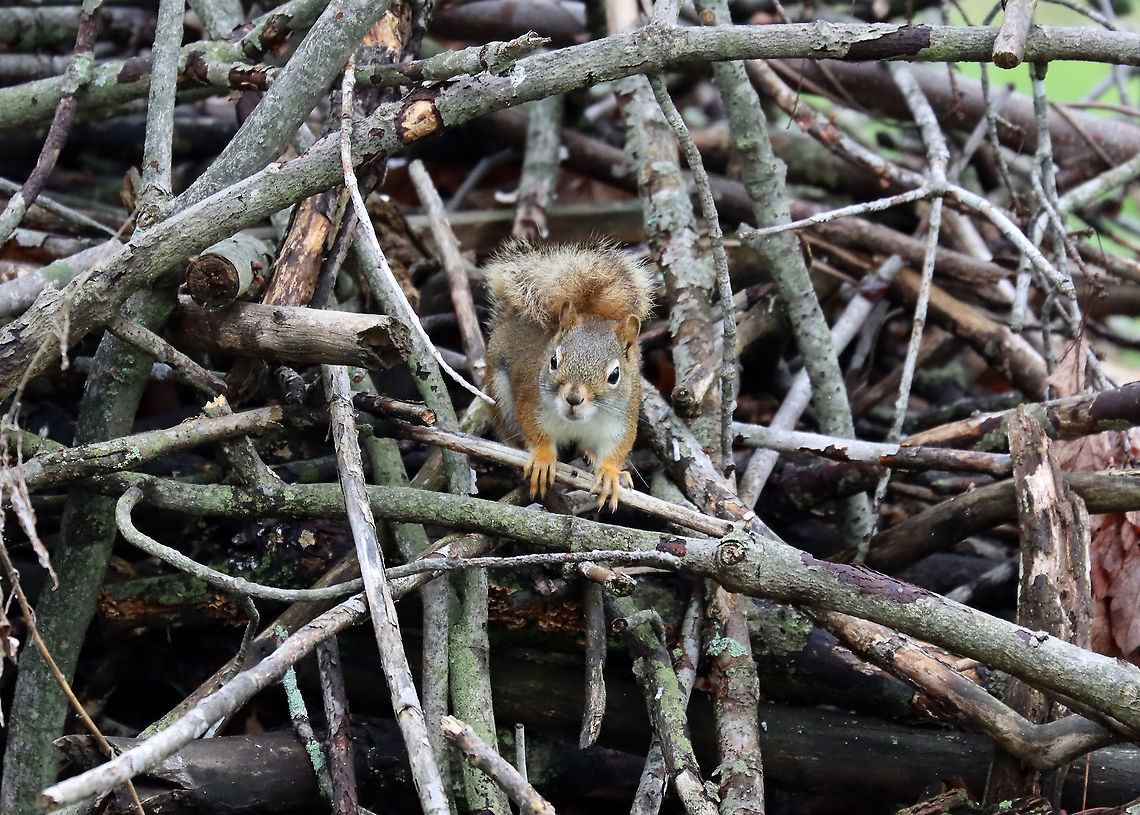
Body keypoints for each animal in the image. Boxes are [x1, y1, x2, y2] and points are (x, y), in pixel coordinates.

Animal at [484, 242, 653, 511]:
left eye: (614, 375)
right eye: (553, 361)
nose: (573, 398)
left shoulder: (621, 420)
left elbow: (618, 448)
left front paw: (610, 473)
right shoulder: (531, 401)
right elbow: (534, 430)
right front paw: (543, 458)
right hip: (499, 393)